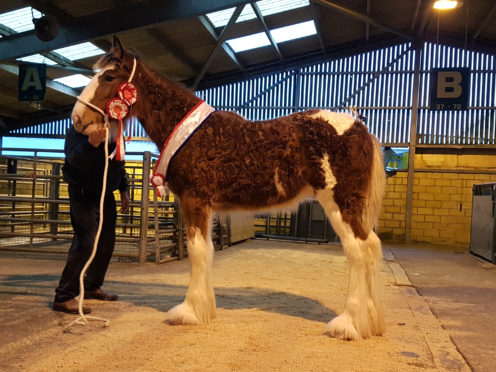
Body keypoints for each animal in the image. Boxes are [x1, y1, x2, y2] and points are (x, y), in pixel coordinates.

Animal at [71, 36, 386, 342]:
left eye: (109, 76)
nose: (77, 119)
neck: (193, 134)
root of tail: (359, 128)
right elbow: (205, 250)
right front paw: (202, 309)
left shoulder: (195, 200)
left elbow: (198, 250)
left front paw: (189, 312)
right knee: (370, 247)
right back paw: (370, 323)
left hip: (339, 203)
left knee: (358, 250)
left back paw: (348, 325)